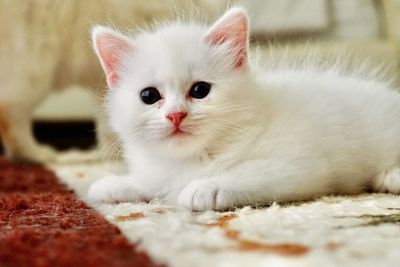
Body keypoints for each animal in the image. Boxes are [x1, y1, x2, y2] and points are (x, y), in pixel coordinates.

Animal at [87, 7, 400, 211]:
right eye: (149, 96)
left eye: (200, 91)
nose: (176, 115)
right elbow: (151, 182)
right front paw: (114, 185)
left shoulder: (299, 164)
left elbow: (248, 173)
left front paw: (204, 187)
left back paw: (391, 177)